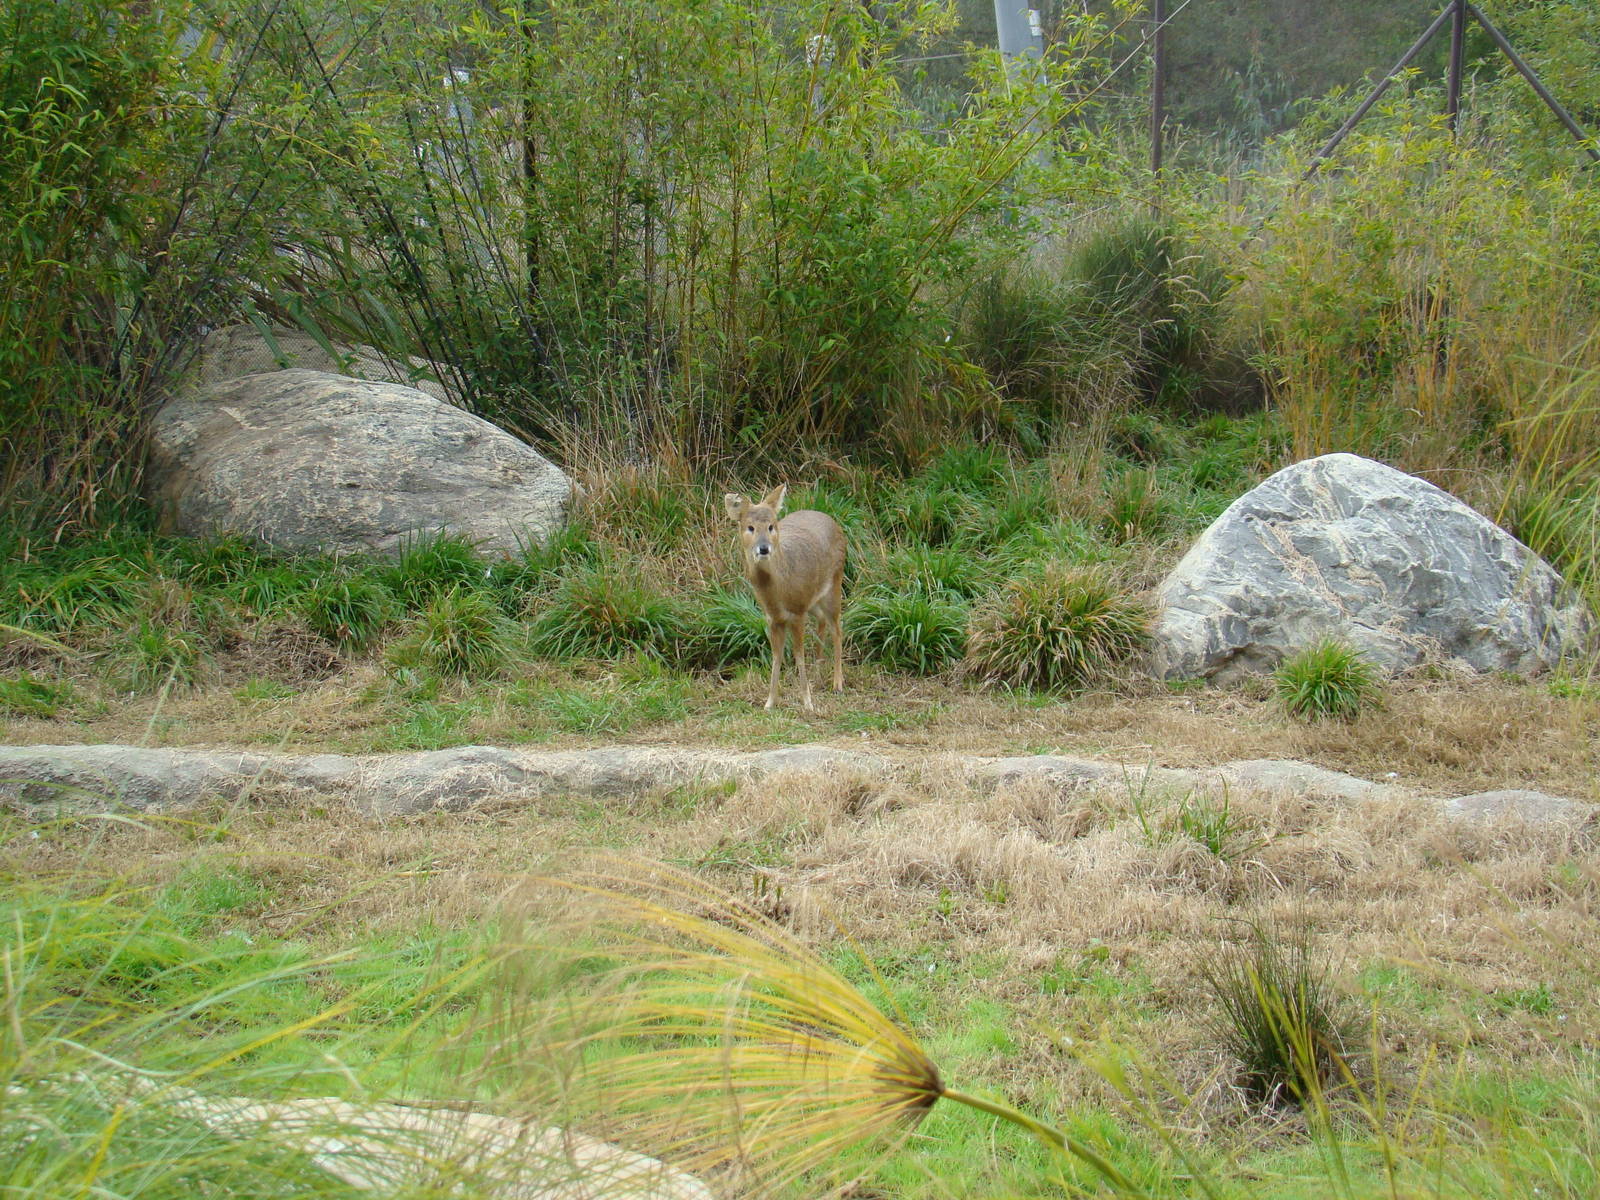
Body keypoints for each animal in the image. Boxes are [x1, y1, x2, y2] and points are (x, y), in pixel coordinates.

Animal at [723, 485, 846, 712]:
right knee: (822, 622)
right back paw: (818, 673)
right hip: (813, 600)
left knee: (837, 629)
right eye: (750, 527)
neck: (778, 592)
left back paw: (837, 684)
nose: (764, 548)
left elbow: (798, 655)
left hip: (834, 584)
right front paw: (769, 703)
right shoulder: (772, 618)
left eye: (771, 526)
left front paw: (807, 703)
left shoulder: (797, 612)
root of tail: (831, 520)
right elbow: (776, 657)